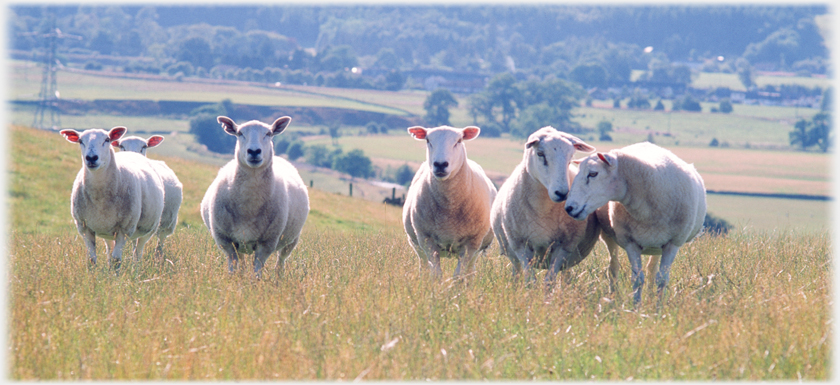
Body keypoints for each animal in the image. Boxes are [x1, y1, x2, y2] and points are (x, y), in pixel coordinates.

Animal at [59, 126, 166, 268]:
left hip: (148, 229)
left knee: (138, 252)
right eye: (80, 141)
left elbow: (117, 260)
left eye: (107, 139)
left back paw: (136, 269)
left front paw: (115, 273)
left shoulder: (124, 228)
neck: (100, 197)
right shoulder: (84, 227)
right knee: (110, 250)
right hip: (106, 230)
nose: (91, 158)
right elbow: (92, 259)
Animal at [200, 115, 308, 276]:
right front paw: (233, 280)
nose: (254, 151)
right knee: (242, 261)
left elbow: (257, 272)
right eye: (239, 133)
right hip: (240, 243)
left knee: (281, 260)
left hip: (291, 239)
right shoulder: (225, 240)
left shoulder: (267, 242)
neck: (249, 205)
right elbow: (232, 267)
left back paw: (279, 276)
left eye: (268, 133)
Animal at [402, 124, 496, 278]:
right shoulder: (427, 239)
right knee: (424, 266)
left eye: (458, 141)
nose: (440, 164)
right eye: (428, 140)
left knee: (470, 270)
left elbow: (459, 275)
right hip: (416, 244)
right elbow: (436, 274)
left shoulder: (472, 243)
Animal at [488, 127, 600, 284]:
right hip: (512, 251)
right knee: (516, 272)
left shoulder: (564, 246)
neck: (543, 208)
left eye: (570, 157)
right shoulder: (520, 245)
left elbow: (549, 281)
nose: (562, 193)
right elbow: (530, 281)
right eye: (540, 154)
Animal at [564, 141, 708, 304]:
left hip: (657, 244)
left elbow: (662, 280)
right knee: (613, 268)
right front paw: (636, 307)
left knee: (652, 270)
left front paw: (658, 308)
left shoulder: (673, 243)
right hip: (609, 236)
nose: (569, 208)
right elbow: (637, 279)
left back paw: (650, 298)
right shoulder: (630, 242)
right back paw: (613, 297)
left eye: (593, 173)